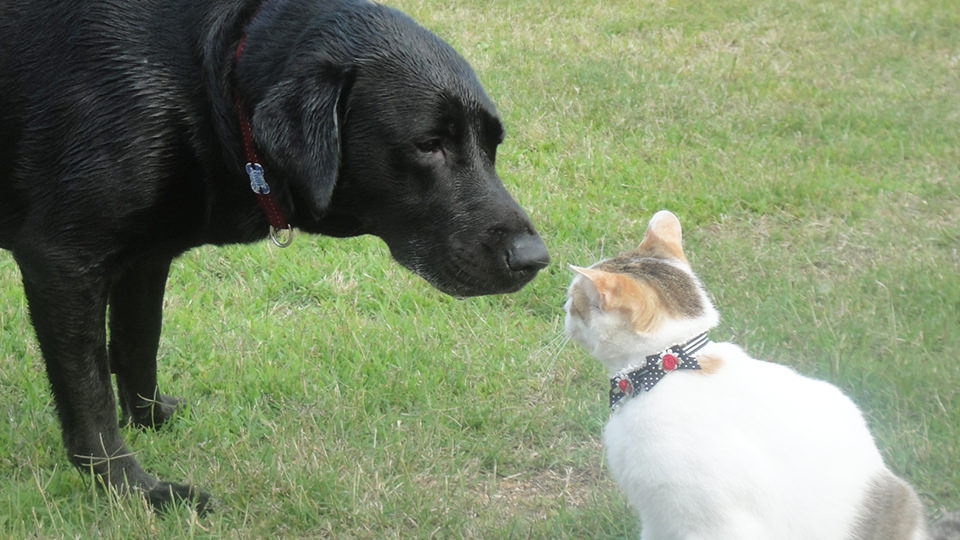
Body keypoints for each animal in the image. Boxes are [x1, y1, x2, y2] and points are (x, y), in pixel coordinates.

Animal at [0, 0, 548, 510]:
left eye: (493, 147)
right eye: (430, 144)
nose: (535, 258)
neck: (216, 79)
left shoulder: (146, 258)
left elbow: (139, 347)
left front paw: (153, 421)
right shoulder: (64, 262)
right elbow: (91, 402)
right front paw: (134, 491)